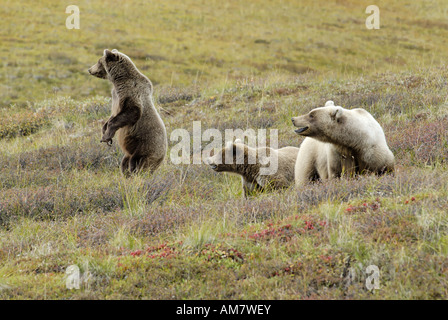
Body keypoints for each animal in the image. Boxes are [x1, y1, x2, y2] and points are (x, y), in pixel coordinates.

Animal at [88, 48, 167, 176]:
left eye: (99, 61)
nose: (89, 69)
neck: (119, 81)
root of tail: (163, 157)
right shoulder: (116, 97)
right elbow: (112, 116)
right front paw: (104, 131)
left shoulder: (131, 93)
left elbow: (132, 112)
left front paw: (106, 136)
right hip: (130, 152)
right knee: (124, 162)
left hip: (145, 148)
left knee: (138, 164)